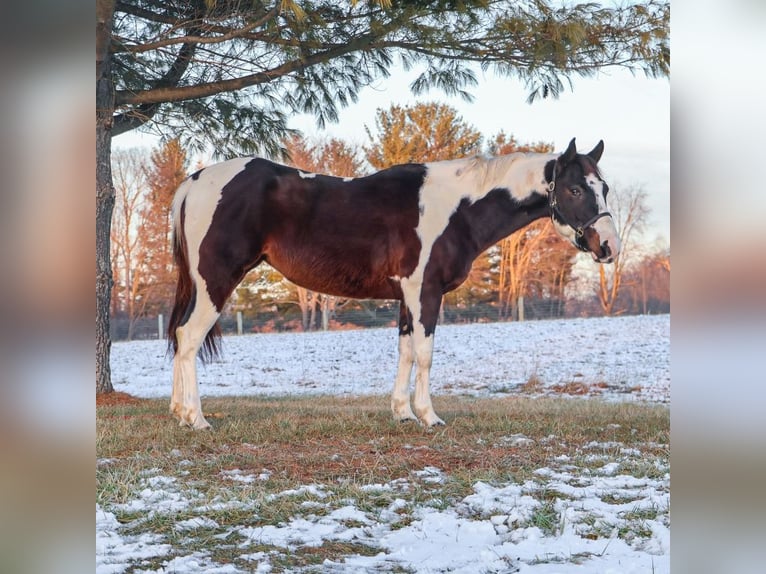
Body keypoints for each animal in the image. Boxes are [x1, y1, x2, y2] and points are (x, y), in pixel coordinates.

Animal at [167, 138, 620, 429]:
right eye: (574, 189)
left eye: (604, 187)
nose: (608, 246)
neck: (456, 207)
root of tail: (195, 180)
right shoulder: (425, 292)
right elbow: (425, 354)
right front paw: (430, 416)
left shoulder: (407, 296)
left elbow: (404, 352)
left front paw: (403, 413)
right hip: (216, 282)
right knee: (188, 337)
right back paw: (196, 418)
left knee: (179, 335)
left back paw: (177, 411)